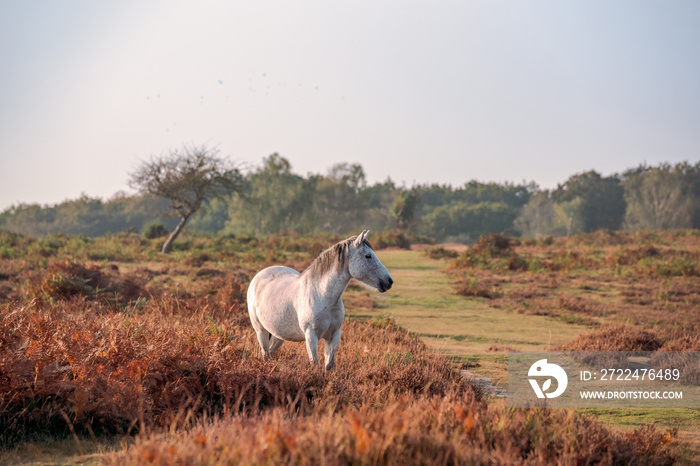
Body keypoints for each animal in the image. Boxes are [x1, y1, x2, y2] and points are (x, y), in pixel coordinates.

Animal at [246, 230, 392, 372]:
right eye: (368, 256)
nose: (389, 281)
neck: (323, 296)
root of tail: (259, 275)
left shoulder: (334, 335)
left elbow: (329, 366)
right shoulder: (311, 336)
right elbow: (315, 364)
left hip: (279, 335)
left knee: (271, 353)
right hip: (261, 331)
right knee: (265, 354)